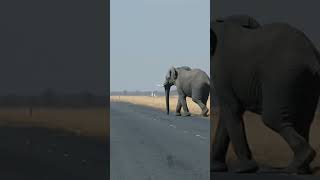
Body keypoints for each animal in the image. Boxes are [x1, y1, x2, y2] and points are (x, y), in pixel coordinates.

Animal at [210, 14, 320, 174]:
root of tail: (311, 54)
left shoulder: (221, 70)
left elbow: (232, 108)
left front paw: (244, 169)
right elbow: (228, 113)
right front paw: (216, 168)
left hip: (282, 74)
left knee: (272, 118)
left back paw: (292, 168)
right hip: (308, 80)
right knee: (304, 121)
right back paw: (301, 170)